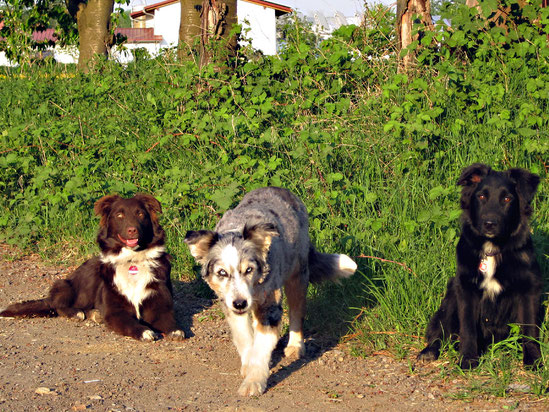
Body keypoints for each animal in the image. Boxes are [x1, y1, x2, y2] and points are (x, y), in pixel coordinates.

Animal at [0, 194, 184, 342]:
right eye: (119, 215)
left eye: (140, 214)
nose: (132, 230)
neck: (132, 260)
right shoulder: (115, 312)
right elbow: (132, 324)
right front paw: (145, 332)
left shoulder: (159, 303)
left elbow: (170, 322)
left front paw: (176, 331)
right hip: (74, 283)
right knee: (59, 304)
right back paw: (77, 313)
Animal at [184, 187, 356, 396]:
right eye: (222, 272)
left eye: (249, 269)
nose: (240, 303)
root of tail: (280, 189)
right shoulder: (229, 303)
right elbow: (244, 336)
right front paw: (248, 364)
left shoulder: (270, 305)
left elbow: (262, 346)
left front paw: (253, 382)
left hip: (297, 274)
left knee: (297, 311)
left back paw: (295, 346)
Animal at [418, 163, 540, 368]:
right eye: (481, 196)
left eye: (507, 199)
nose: (490, 224)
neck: (492, 248)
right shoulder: (466, 288)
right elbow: (468, 328)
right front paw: (468, 358)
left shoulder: (528, 288)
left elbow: (530, 329)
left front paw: (533, 359)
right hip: (451, 295)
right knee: (439, 331)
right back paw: (428, 352)